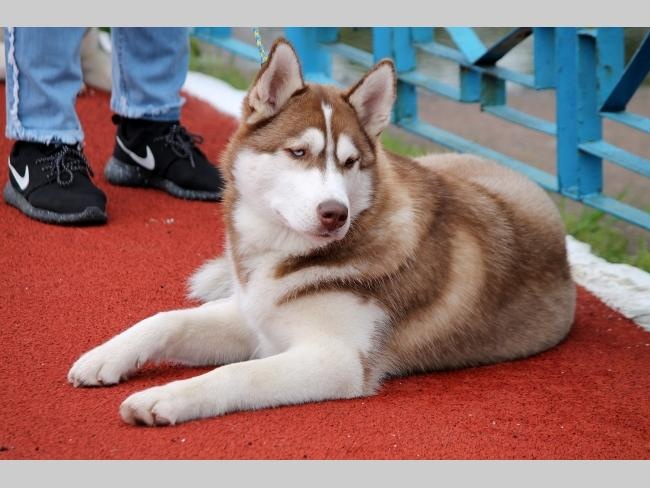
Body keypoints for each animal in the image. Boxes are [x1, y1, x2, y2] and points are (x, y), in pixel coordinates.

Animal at [68, 39, 576, 426]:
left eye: (349, 162)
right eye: (298, 152)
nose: (336, 213)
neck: (283, 256)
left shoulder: (337, 359)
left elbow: (236, 374)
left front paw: (166, 396)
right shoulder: (256, 319)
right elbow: (166, 319)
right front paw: (107, 355)